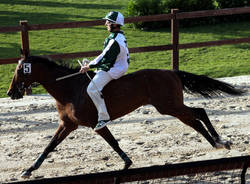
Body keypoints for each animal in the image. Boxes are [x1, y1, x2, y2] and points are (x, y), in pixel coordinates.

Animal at [7, 52, 244, 178]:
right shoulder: (68, 124)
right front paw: (28, 170)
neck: (70, 88)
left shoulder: (96, 123)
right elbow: (49, 146)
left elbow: (112, 142)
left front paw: (127, 162)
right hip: (171, 107)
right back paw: (216, 143)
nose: (10, 92)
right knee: (194, 121)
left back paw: (221, 141)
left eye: (19, 70)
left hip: (170, 106)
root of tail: (171, 72)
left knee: (199, 113)